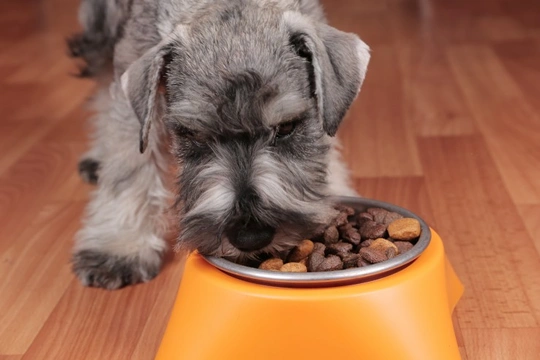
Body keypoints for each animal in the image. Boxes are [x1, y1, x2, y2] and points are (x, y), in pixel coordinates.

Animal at [67, 0, 370, 290]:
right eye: (194, 134)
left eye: (286, 127)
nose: (249, 236)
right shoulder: (133, 94)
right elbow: (129, 166)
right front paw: (119, 248)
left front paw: (336, 189)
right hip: (101, 25)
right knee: (103, 82)